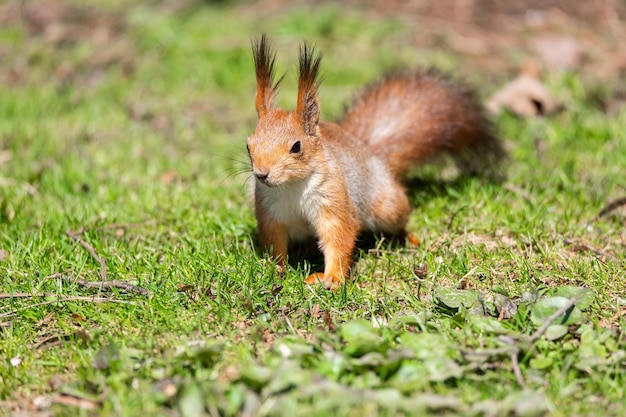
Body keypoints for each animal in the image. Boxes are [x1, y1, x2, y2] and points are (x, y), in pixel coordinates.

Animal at [244, 34, 502, 290]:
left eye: (296, 147)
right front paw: (275, 269)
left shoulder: (334, 203)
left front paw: (333, 278)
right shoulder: (270, 212)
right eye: (248, 145)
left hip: (387, 207)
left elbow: (339, 238)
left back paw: (409, 238)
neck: (292, 186)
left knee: (399, 219)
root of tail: (371, 153)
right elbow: (275, 243)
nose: (262, 174)